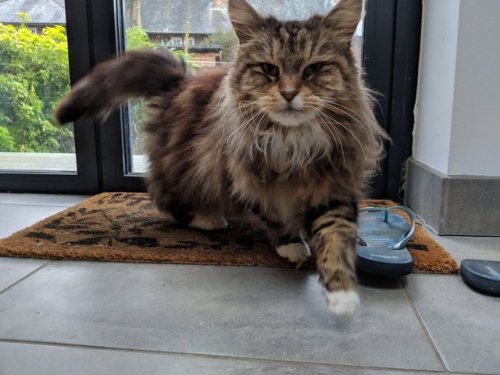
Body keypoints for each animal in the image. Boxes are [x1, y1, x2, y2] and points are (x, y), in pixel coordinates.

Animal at [56, 0, 388, 318]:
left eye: (313, 69)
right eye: (268, 69)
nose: (289, 93)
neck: (293, 139)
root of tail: (180, 82)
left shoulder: (333, 182)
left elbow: (336, 237)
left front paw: (343, 296)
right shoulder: (247, 175)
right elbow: (275, 214)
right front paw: (291, 244)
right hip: (185, 166)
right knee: (165, 197)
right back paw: (207, 218)